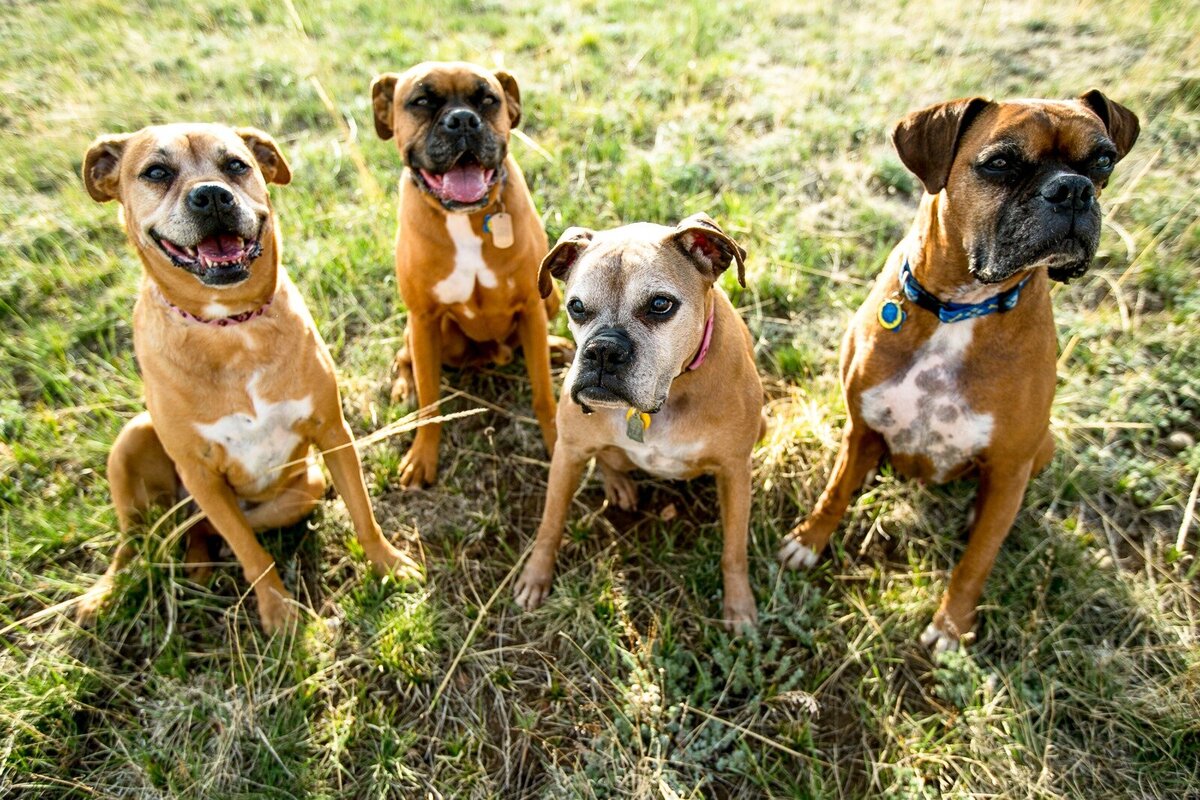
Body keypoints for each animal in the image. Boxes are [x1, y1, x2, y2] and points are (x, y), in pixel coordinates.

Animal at [76, 122, 417, 633]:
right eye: (155, 172)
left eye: (236, 164)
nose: (212, 196)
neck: (231, 328)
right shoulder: (200, 472)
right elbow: (251, 553)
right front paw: (278, 612)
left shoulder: (333, 433)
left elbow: (362, 511)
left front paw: (389, 564)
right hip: (133, 441)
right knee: (138, 538)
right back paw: (104, 593)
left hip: (305, 486)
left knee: (211, 527)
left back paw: (198, 562)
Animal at [369, 62, 566, 489]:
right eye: (421, 101)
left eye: (487, 99)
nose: (462, 120)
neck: (466, 218)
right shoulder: (424, 319)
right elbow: (430, 403)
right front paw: (422, 457)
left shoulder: (532, 306)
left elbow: (543, 392)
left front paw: (555, 438)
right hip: (426, 333)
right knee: (404, 356)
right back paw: (404, 387)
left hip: (551, 301)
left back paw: (556, 345)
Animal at [772, 90, 1137, 652]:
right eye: (1000, 163)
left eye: (1102, 160)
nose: (1073, 190)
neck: (959, 308)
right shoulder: (860, 422)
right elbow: (833, 492)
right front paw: (807, 542)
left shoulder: (1009, 463)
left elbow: (977, 559)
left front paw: (951, 624)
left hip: (1040, 447)